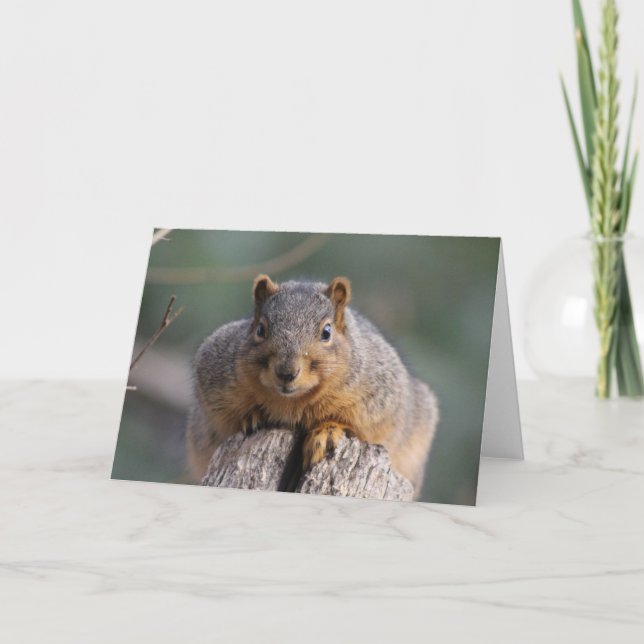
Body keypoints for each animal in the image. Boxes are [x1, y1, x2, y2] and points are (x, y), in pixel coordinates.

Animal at [186, 274, 439, 497]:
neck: (292, 402)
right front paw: (252, 416)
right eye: (260, 329)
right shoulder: (214, 378)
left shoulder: (381, 397)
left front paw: (327, 432)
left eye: (326, 332)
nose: (286, 372)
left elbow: (364, 427)